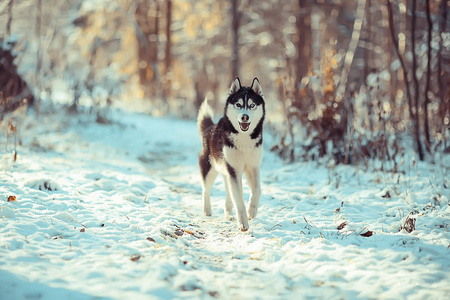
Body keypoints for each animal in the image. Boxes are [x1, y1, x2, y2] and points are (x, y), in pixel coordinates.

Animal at [196, 76, 264, 231]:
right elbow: (239, 199)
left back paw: (228, 214)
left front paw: (252, 210)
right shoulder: (234, 170)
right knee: (205, 190)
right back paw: (207, 211)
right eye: (238, 104)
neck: (244, 139)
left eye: (252, 105)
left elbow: (257, 190)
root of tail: (209, 128)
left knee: (228, 194)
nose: (245, 117)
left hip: (226, 172)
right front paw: (243, 223)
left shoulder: (253, 167)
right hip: (210, 170)